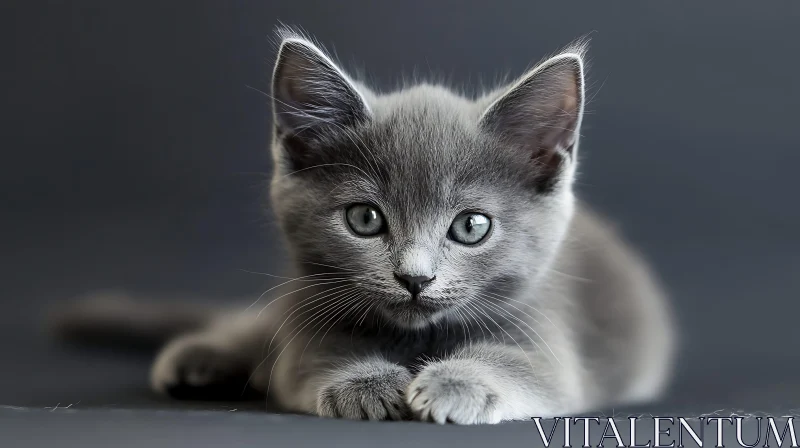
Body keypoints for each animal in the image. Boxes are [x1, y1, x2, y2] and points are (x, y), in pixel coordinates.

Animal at [51, 27, 676, 424]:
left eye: (472, 227)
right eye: (364, 218)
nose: (415, 279)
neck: (415, 337)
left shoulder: (549, 335)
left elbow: (525, 369)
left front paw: (456, 385)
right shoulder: (307, 326)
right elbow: (311, 359)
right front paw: (367, 384)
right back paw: (199, 357)